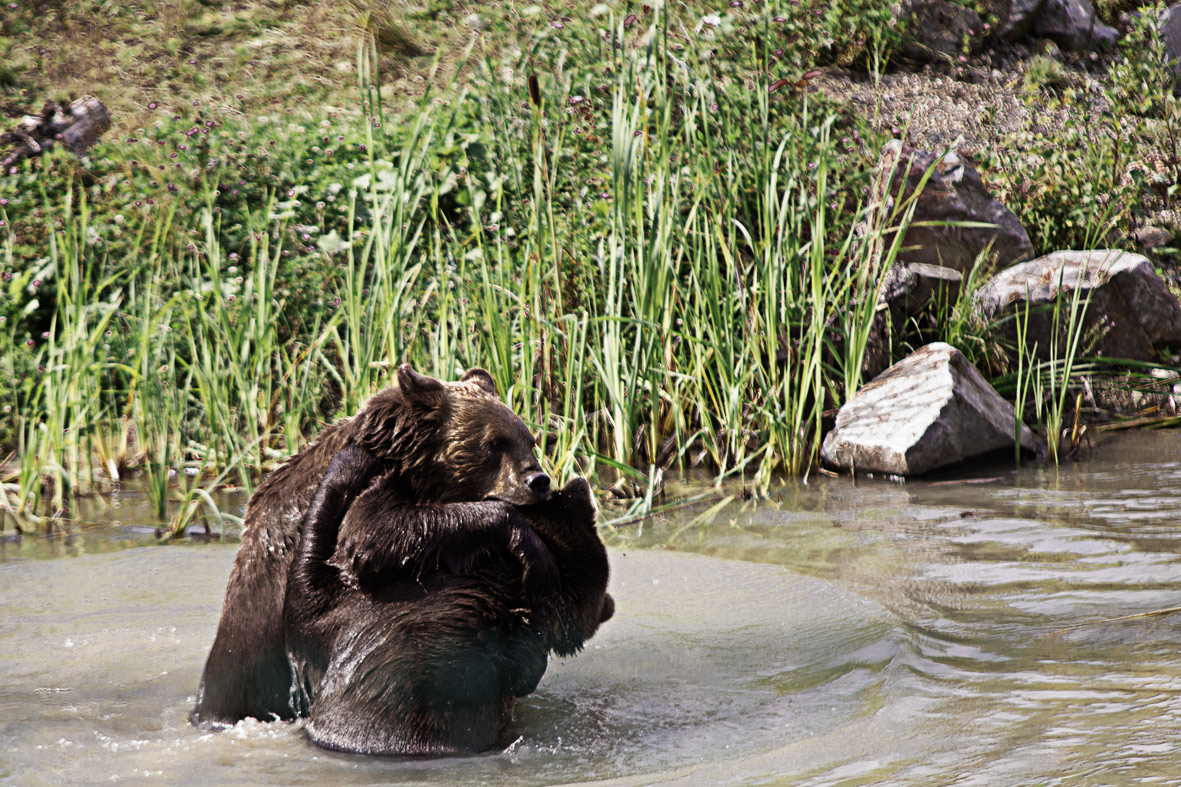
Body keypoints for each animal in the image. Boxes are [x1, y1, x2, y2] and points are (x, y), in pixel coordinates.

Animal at [188, 363, 562, 727]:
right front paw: (531, 548)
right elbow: (372, 536)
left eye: (530, 439)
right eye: (495, 442)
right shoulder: (364, 484)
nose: (538, 480)